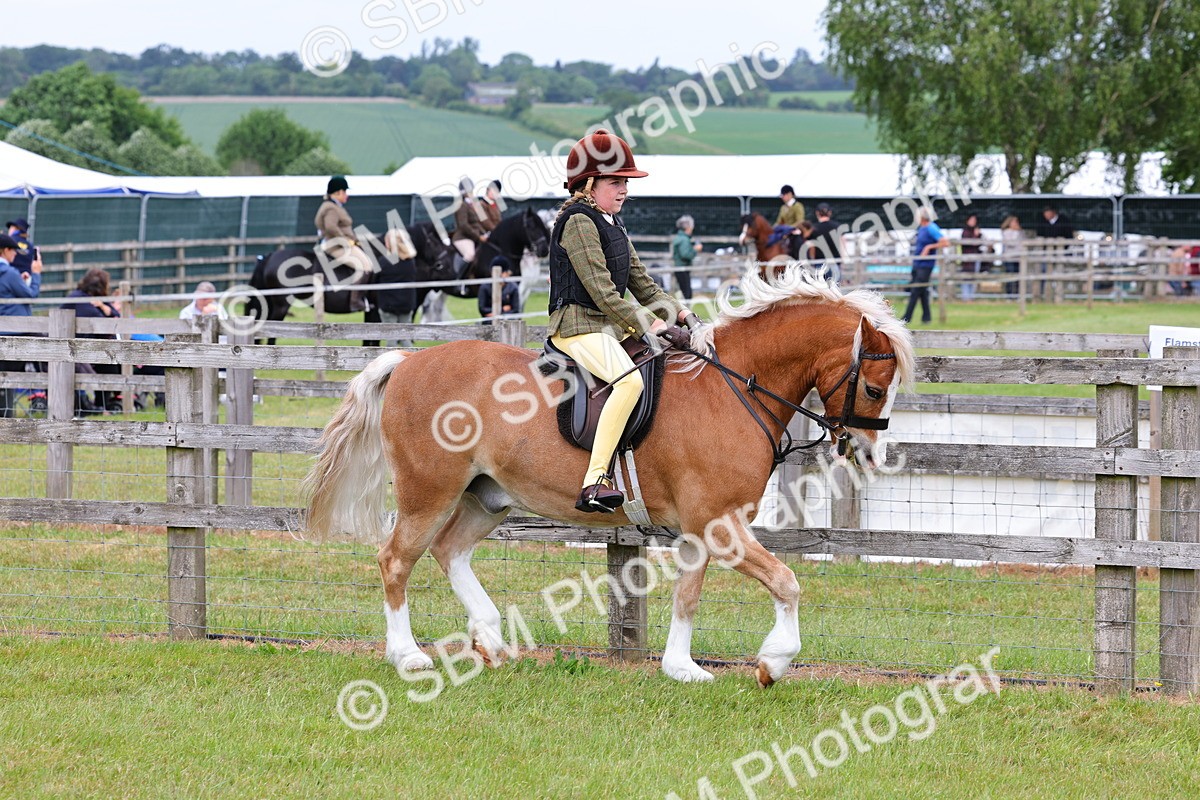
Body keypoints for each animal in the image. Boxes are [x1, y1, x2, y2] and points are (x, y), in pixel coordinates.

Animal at [303, 266, 915, 687]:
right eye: (874, 388)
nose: (871, 454)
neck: (732, 387)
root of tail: (408, 361)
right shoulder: (719, 526)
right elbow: (787, 582)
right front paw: (773, 663)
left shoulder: (701, 531)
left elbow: (687, 596)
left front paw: (681, 667)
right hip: (429, 491)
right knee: (396, 559)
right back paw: (407, 655)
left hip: (487, 497)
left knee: (449, 550)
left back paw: (492, 640)